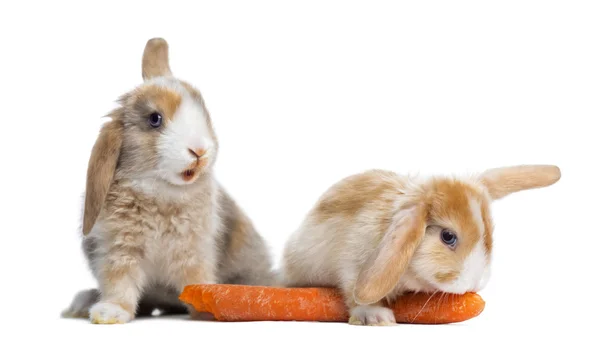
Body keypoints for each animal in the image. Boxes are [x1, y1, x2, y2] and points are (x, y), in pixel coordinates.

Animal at [62, 38, 276, 324]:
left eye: (203, 112)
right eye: (155, 119)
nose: (200, 150)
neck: (160, 191)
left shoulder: (193, 253)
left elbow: (196, 280)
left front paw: (207, 307)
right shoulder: (119, 250)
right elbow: (120, 283)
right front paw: (110, 312)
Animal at [282, 164, 564, 324]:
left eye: (489, 236)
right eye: (447, 236)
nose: (475, 284)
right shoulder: (351, 263)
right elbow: (353, 291)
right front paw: (376, 316)